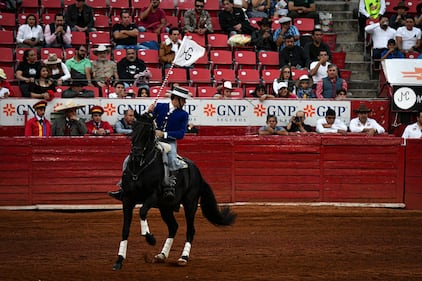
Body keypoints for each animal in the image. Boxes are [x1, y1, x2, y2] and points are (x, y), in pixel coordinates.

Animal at [112, 111, 237, 270]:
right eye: (133, 127)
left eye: (147, 131)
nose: (135, 153)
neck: (139, 167)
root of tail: (198, 172)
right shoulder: (128, 199)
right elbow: (125, 229)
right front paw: (119, 260)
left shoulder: (153, 196)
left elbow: (142, 212)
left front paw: (150, 238)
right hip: (165, 207)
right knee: (173, 227)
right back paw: (162, 255)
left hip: (190, 204)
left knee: (190, 230)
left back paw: (183, 258)